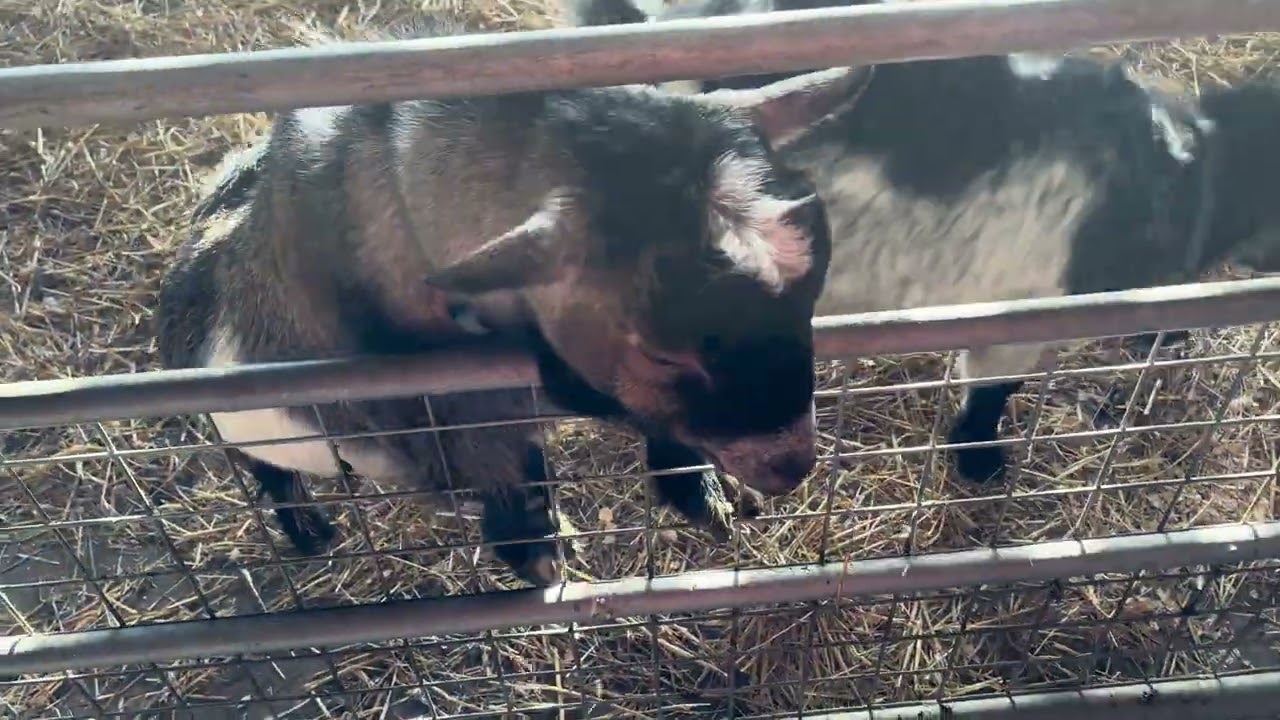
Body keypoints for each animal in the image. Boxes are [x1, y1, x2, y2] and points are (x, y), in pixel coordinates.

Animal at [154, 16, 858, 586]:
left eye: (811, 294)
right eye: (663, 354)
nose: (790, 465)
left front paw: (702, 492)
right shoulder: (441, 396)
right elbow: (489, 444)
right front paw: (533, 548)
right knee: (268, 471)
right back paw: (310, 530)